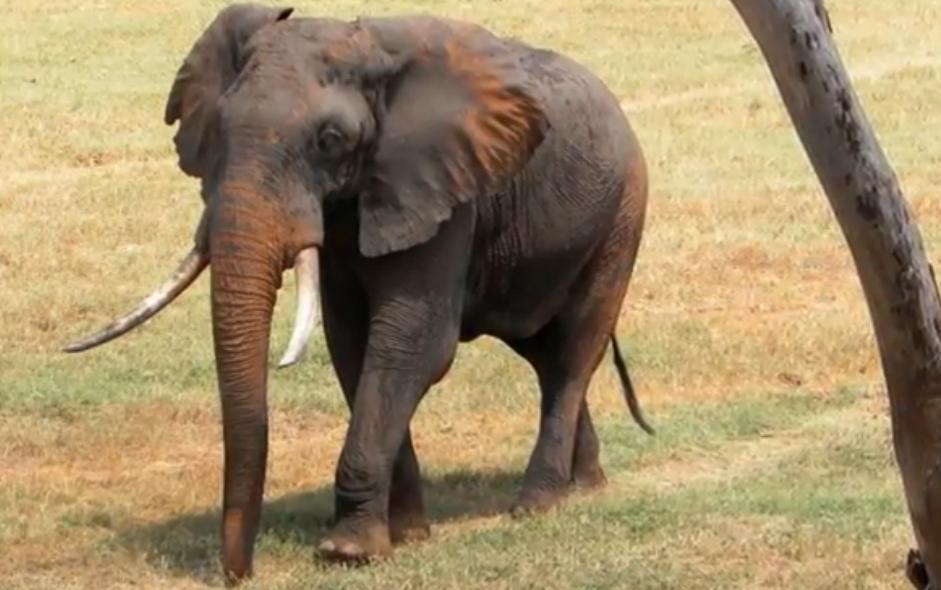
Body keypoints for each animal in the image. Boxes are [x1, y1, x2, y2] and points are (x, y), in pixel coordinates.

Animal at [65, 4, 651, 583]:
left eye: (329, 140)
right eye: (219, 130)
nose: (239, 573)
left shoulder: (439, 189)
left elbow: (410, 345)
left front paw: (348, 552)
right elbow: (352, 343)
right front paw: (407, 533)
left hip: (622, 214)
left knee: (571, 354)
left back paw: (537, 504)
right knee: (544, 353)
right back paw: (586, 487)